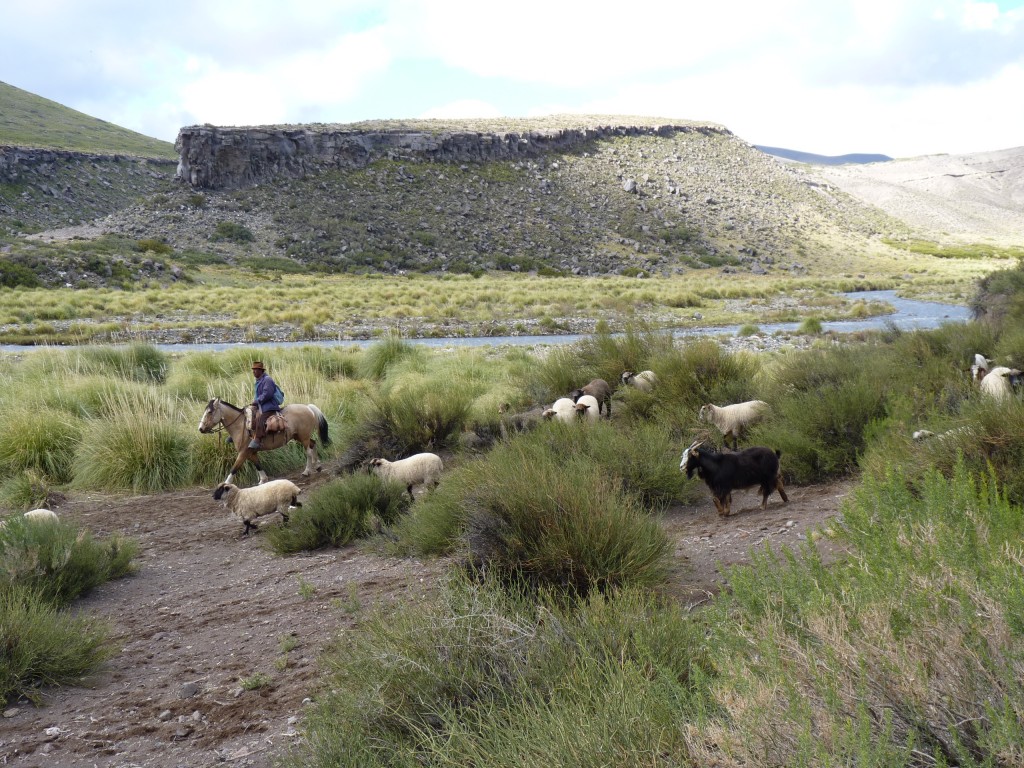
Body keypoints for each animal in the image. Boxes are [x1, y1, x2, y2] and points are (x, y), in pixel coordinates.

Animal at [197, 399, 329, 483]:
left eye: (209, 412)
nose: (201, 429)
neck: (240, 425)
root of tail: (308, 408)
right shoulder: (251, 452)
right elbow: (258, 464)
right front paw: (263, 480)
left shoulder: (243, 452)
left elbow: (234, 468)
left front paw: (224, 486)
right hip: (299, 437)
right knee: (313, 444)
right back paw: (318, 466)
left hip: (303, 437)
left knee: (308, 452)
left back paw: (307, 471)